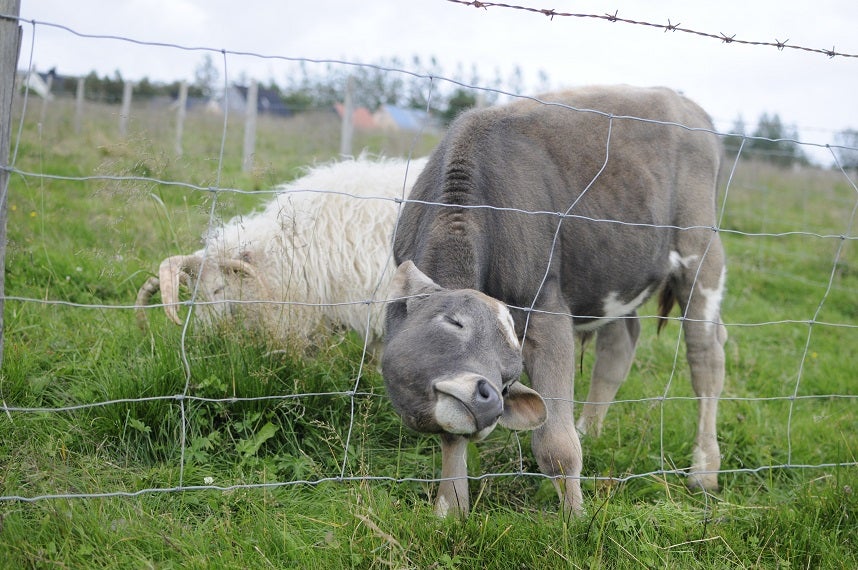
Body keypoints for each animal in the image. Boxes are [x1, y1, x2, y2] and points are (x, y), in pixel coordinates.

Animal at [384, 85, 724, 516]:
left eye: (510, 377)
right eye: (454, 322)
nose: (489, 398)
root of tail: (687, 105)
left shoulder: (546, 308)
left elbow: (556, 445)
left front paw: (576, 517)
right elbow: (453, 436)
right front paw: (450, 506)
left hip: (701, 253)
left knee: (706, 356)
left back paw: (704, 470)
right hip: (615, 272)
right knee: (620, 344)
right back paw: (590, 430)